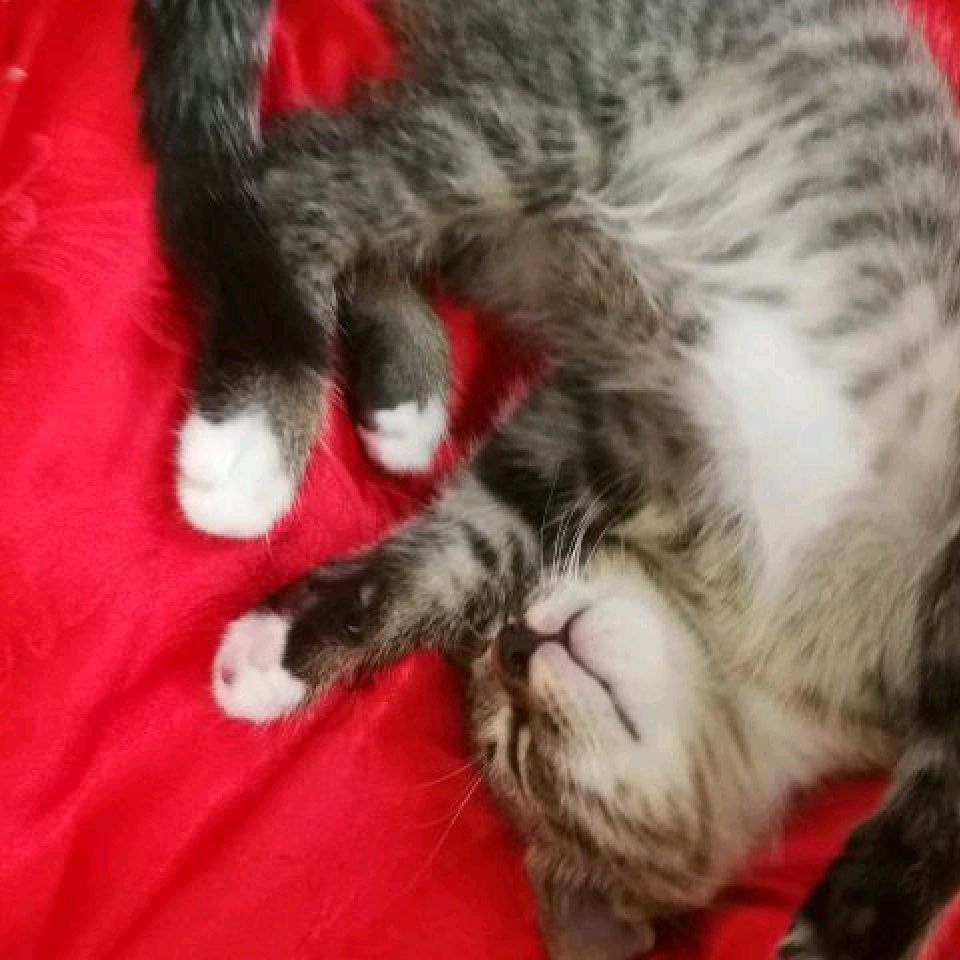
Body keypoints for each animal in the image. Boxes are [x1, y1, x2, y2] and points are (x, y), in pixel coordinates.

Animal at [134, 0, 960, 958]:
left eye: (518, 752)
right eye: (507, 724)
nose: (518, 644)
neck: (756, 630)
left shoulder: (626, 415)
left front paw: (861, 919)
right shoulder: (626, 418)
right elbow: (473, 540)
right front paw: (289, 647)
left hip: (522, 219)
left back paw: (403, 390)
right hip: (552, 123)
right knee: (299, 172)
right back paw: (262, 418)